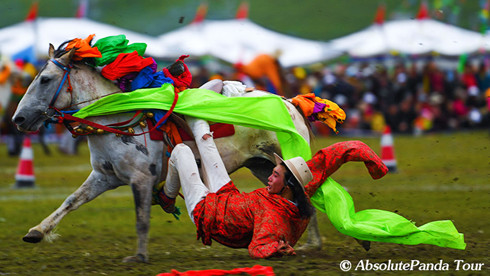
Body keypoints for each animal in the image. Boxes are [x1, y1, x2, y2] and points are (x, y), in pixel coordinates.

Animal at [11, 43, 322, 264]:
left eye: (45, 79)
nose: (18, 119)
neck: (116, 120)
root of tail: (289, 101)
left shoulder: (141, 179)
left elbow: (141, 219)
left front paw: (139, 256)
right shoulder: (104, 177)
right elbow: (71, 201)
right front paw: (37, 231)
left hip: (284, 159)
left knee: (307, 193)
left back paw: (312, 244)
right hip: (263, 166)